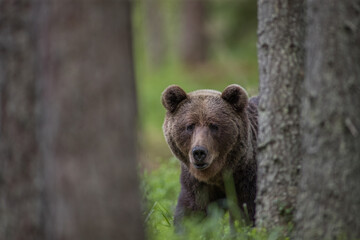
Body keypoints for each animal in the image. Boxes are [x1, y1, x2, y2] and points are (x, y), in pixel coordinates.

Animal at [161, 85, 258, 227]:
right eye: (190, 126)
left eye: (214, 125)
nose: (199, 152)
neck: (216, 175)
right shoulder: (197, 183)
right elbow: (192, 212)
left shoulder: (247, 178)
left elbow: (246, 212)